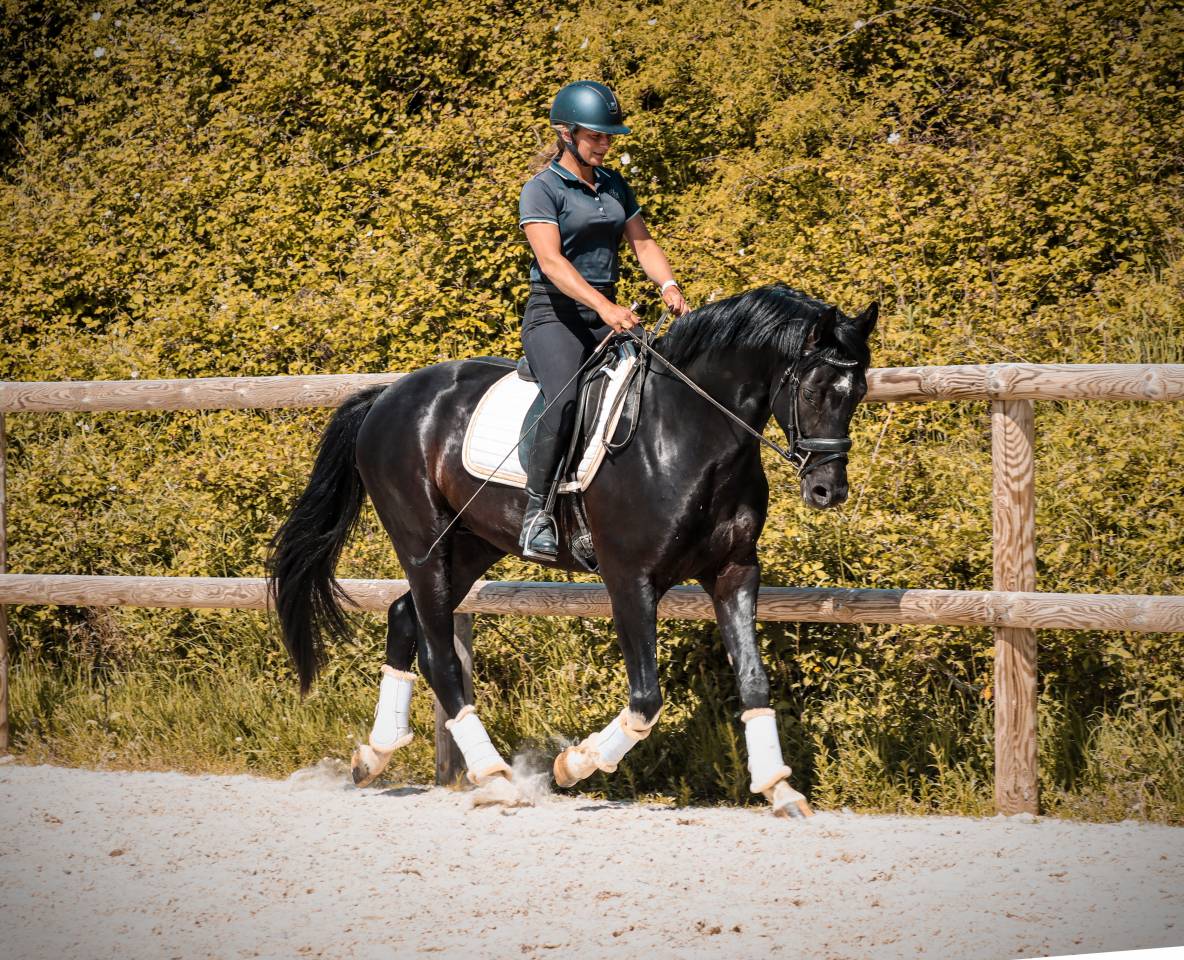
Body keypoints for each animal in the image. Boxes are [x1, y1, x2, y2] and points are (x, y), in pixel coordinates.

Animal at [267, 282, 877, 816]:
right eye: (813, 391)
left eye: (860, 392)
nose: (829, 490)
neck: (690, 433)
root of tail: (387, 397)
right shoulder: (629, 578)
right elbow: (646, 699)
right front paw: (572, 765)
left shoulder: (734, 572)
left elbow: (753, 679)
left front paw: (780, 789)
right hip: (421, 542)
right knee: (439, 655)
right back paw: (495, 778)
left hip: (469, 545)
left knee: (402, 615)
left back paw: (374, 755)